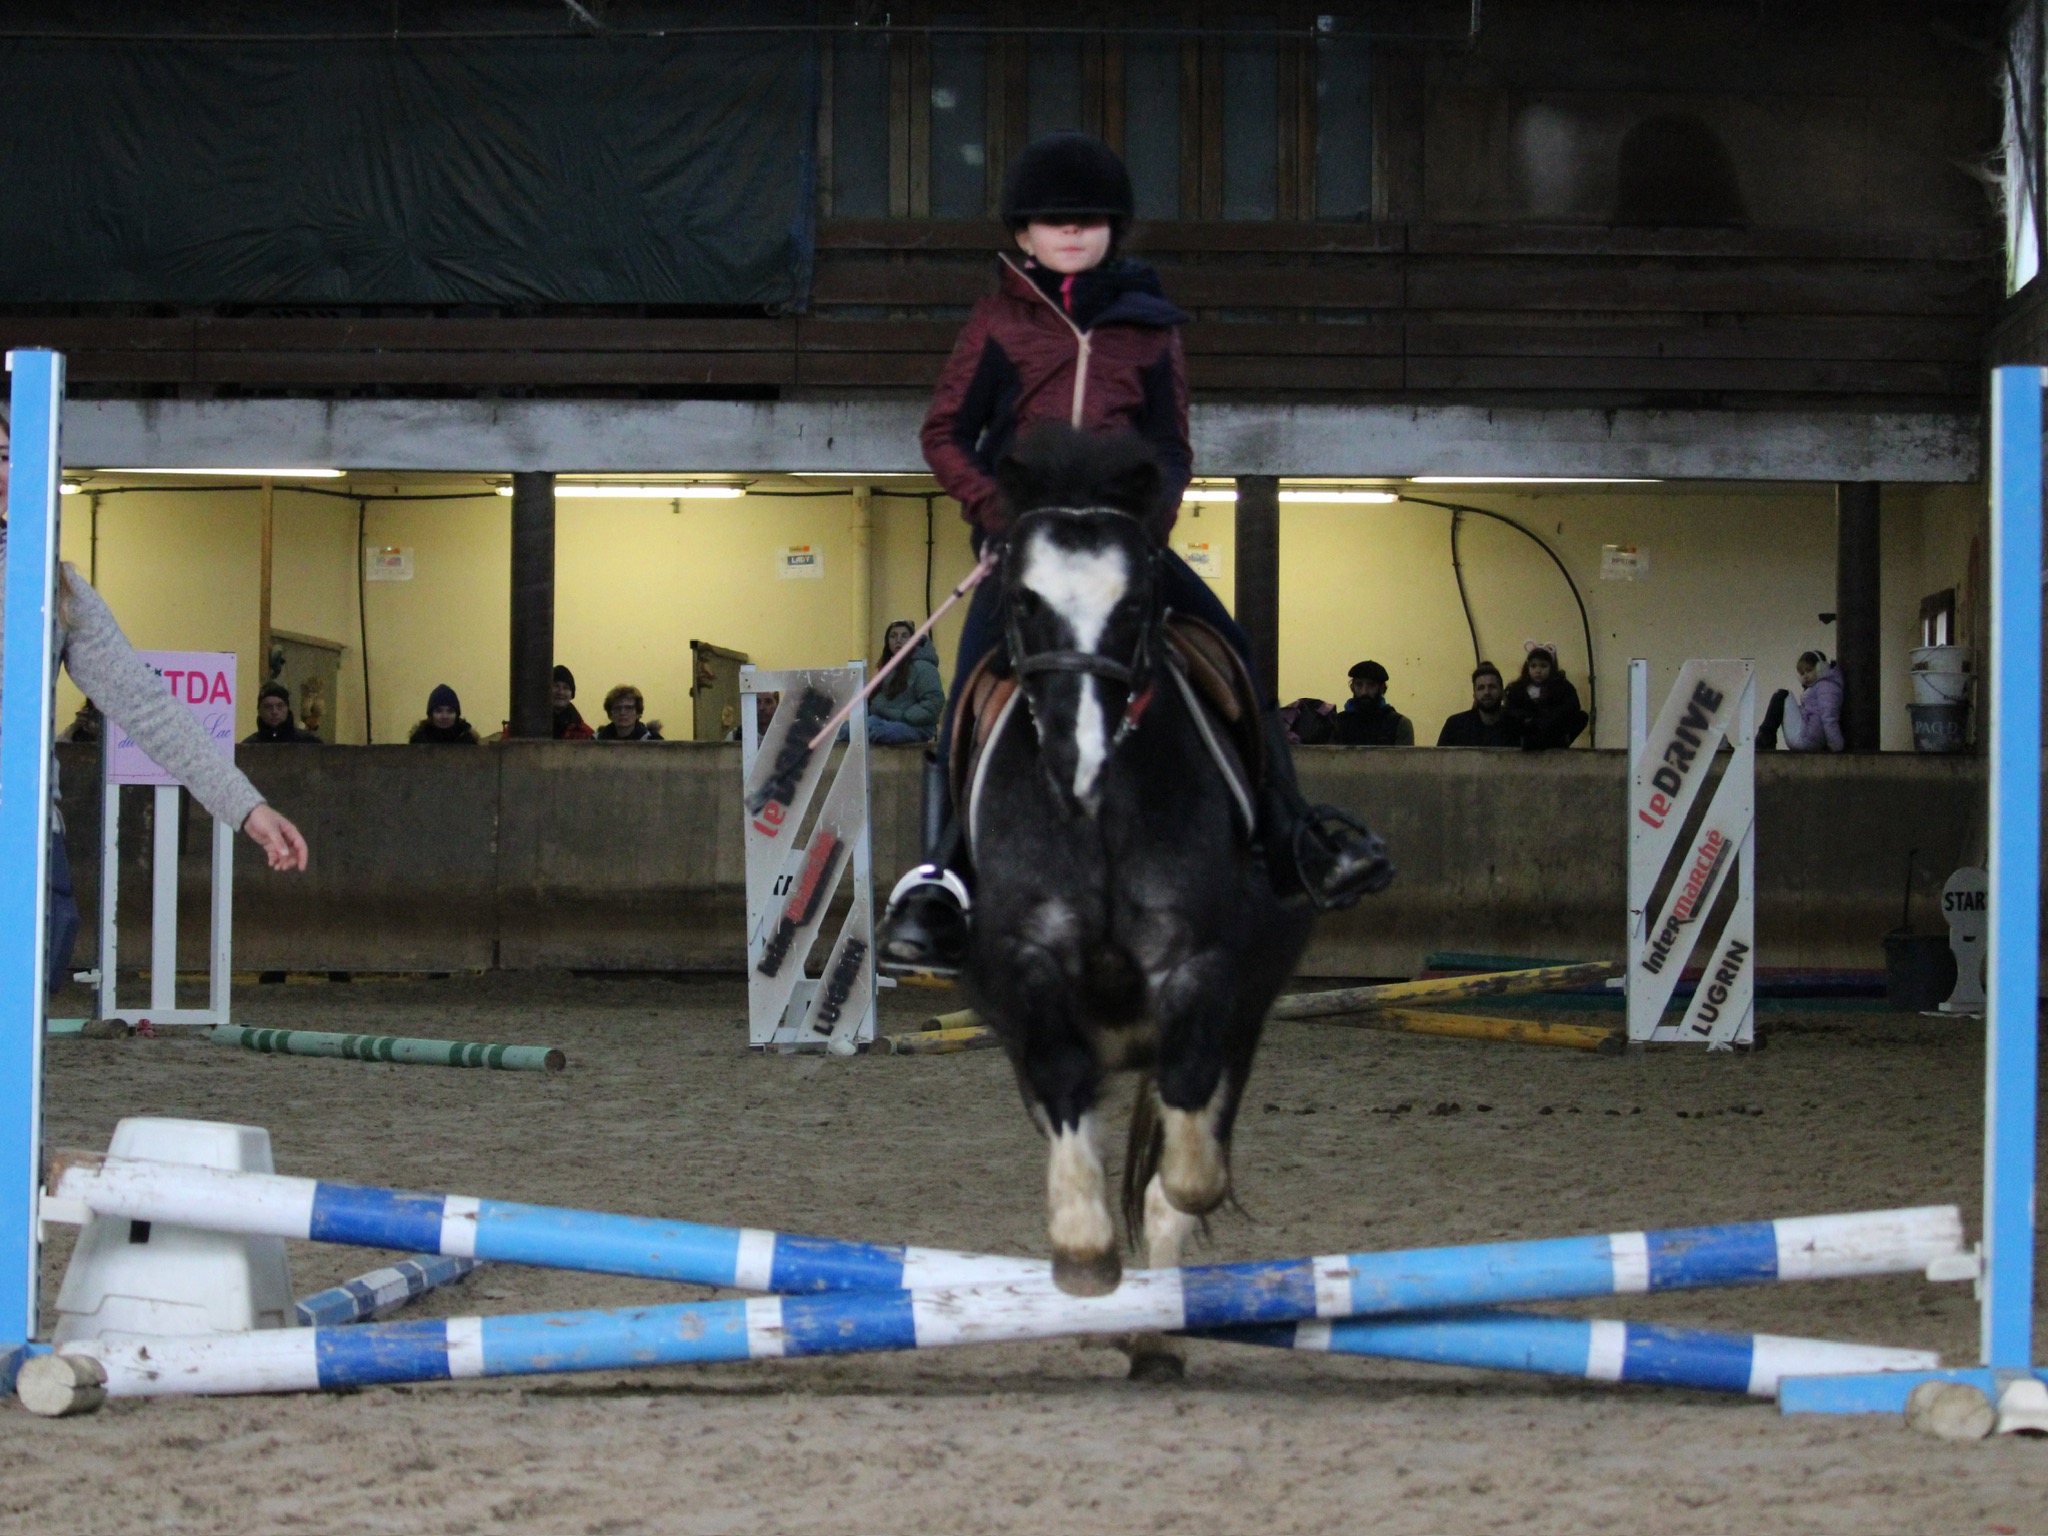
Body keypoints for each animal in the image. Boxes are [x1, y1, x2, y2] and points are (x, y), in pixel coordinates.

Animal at [962, 434, 1310, 1327]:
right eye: (1023, 600)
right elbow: (1060, 1076)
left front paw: (1187, 1190)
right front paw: (1082, 1246)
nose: (1074, 764)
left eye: (1135, 603)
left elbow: (1186, 1152)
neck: (1099, 817)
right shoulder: (1024, 957)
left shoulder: (1203, 963)